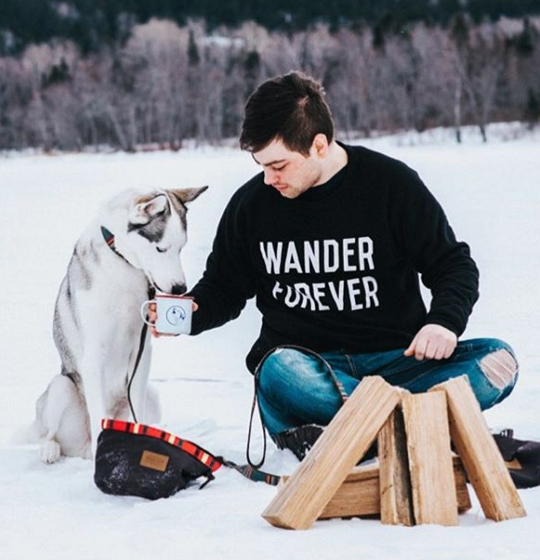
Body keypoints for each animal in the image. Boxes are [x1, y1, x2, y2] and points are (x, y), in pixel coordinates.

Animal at [33, 188, 207, 464]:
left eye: (181, 248)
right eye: (161, 248)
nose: (180, 289)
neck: (123, 263)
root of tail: (82, 448)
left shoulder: (142, 352)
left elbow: (138, 410)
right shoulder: (94, 355)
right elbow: (98, 414)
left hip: (152, 394)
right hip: (62, 388)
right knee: (48, 433)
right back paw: (50, 449)